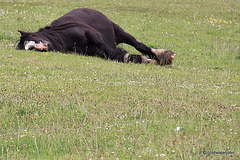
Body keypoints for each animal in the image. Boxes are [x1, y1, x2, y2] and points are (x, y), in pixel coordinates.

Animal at [16, 7, 175, 65]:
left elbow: (110, 49)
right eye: (28, 48)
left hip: (119, 32)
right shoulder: (92, 52)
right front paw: (135, 58)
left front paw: (132, 57)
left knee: (137, 44)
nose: (41, 47)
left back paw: (162, 55)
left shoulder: (92, 34)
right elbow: (109, 54)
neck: (64, 37)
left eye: (32, 38)